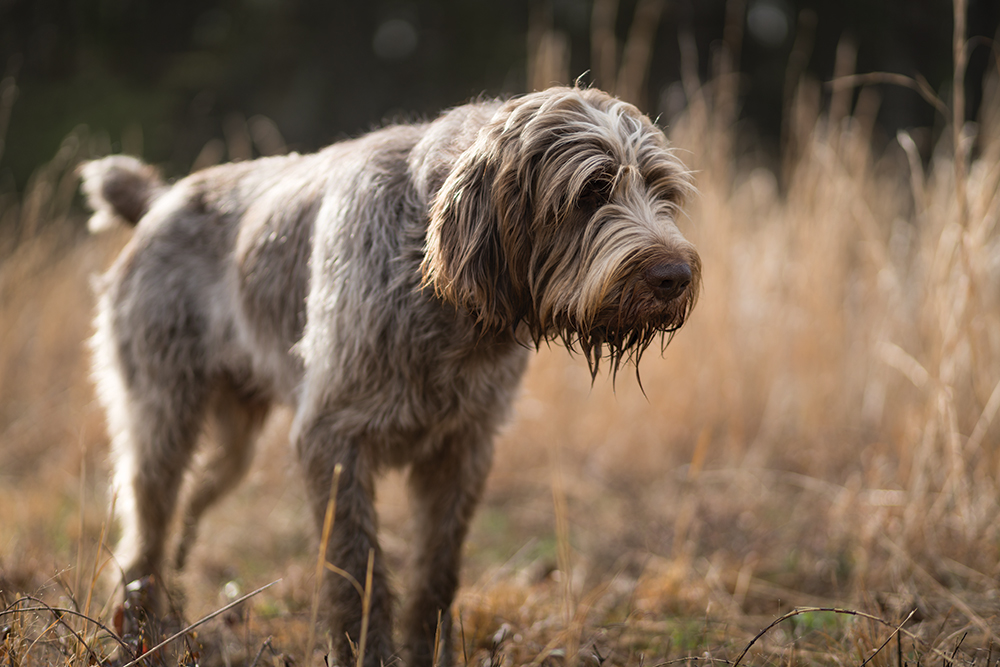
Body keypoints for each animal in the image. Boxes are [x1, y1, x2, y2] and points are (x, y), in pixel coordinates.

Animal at [82, 86, 700, 664]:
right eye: (591, 191)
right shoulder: (332, 441)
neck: (438, 292)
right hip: (162, 422)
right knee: (143, 536)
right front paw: (367, 653)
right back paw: (139, 633)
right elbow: (358, 574)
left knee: (186, 510)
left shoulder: (463, 448)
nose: (675, 276)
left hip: (233, 445)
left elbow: (435, 577)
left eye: (662, 191)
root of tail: (160, 200)